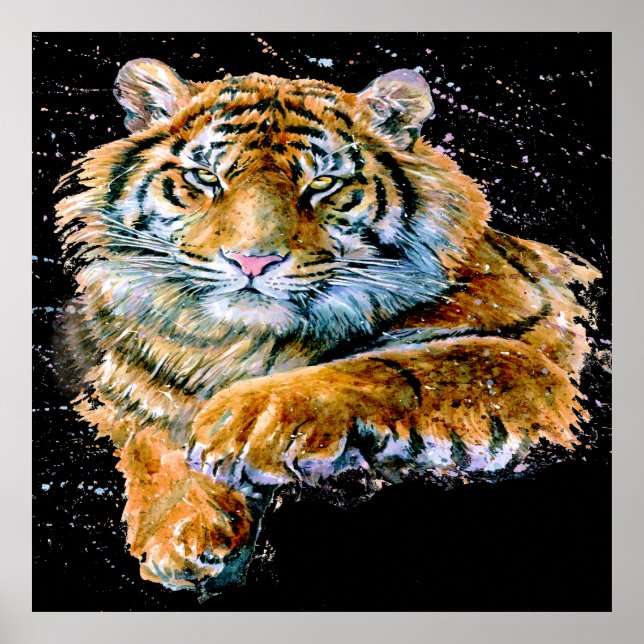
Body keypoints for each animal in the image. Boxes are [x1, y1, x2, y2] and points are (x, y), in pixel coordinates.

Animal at [53, 58, 600, 592]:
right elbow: (147, 428)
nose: (252, 262)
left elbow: (405, 364)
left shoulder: (542, 358)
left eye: (320, 184)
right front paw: (183, 528)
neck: (243, 345)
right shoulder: (128, 383)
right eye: (206, 177)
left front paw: (247, 420)